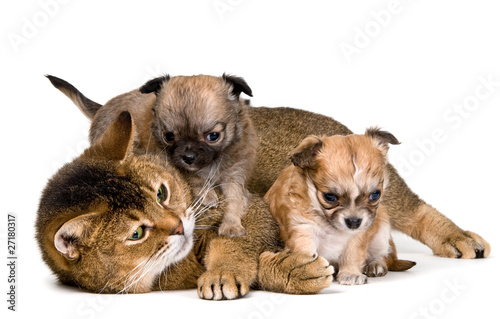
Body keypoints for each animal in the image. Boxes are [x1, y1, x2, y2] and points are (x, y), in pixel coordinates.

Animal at [264, 129, 416, 286]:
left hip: (382, 228)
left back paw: (375, 264)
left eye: (375, 195)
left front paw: (351, 273)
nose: (354, 222)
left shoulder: (358, 235)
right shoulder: (303, 229)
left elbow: (352, 254)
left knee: (386, 255)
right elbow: (306, 254)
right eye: (330, 197)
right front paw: (307, 272)